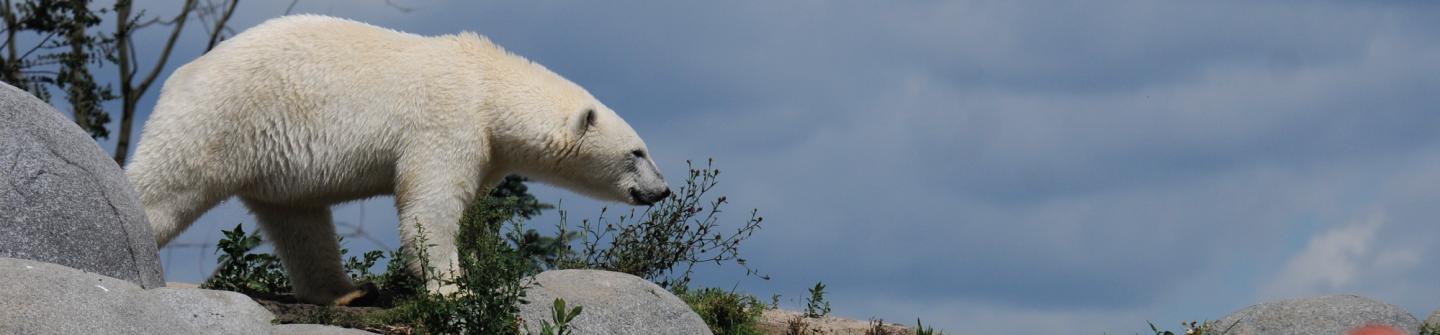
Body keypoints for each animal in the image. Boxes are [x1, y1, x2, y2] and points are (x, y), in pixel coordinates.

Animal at [126, 15, 665, 303]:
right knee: (165, 186)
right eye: (636, 152)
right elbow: (430, 207)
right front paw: (456, 289)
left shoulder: (485, 144)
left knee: (300, 223)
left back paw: (347, 289)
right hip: (220, 120)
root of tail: (180, 77)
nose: (662, 190)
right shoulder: (447, 121)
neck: (488, 84)